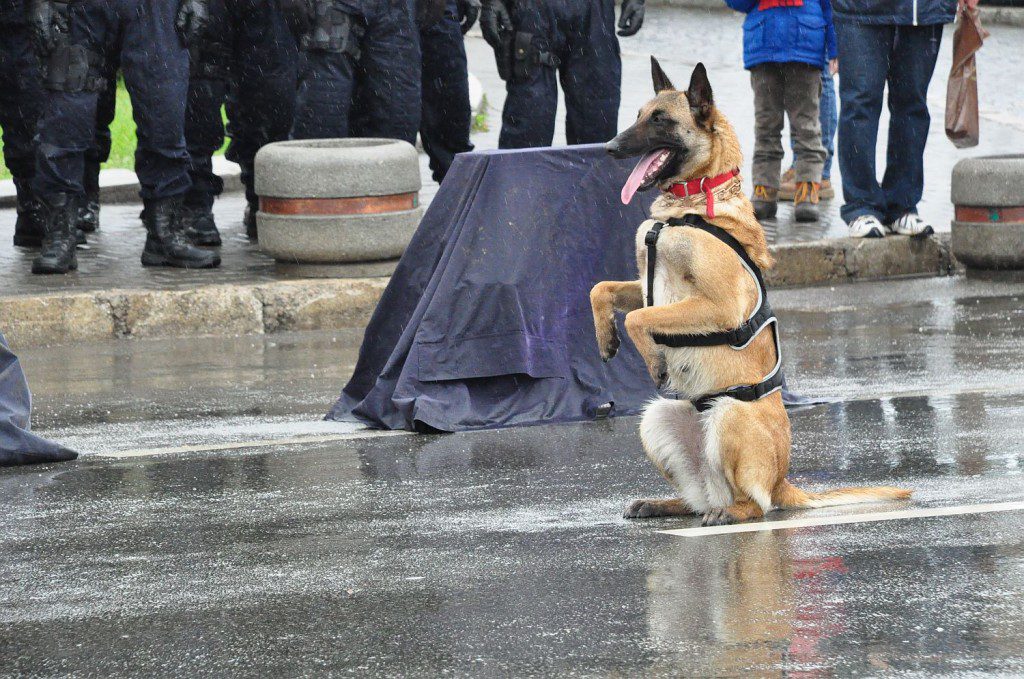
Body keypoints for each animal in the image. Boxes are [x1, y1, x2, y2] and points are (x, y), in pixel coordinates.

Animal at [593, 58, 913, 524]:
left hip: (731, 416)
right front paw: (606, 337)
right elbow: (602, 290)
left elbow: (639, 316)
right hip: (656, 422)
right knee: (698, 499)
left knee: (756, 504)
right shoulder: (643, 284)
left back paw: (732, 511)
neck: (694, 199)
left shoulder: (719, 306)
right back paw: (664, 504)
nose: (609, 147)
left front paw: (652, 358)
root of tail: (783, 480)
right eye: (638, 114)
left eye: (661, 120)